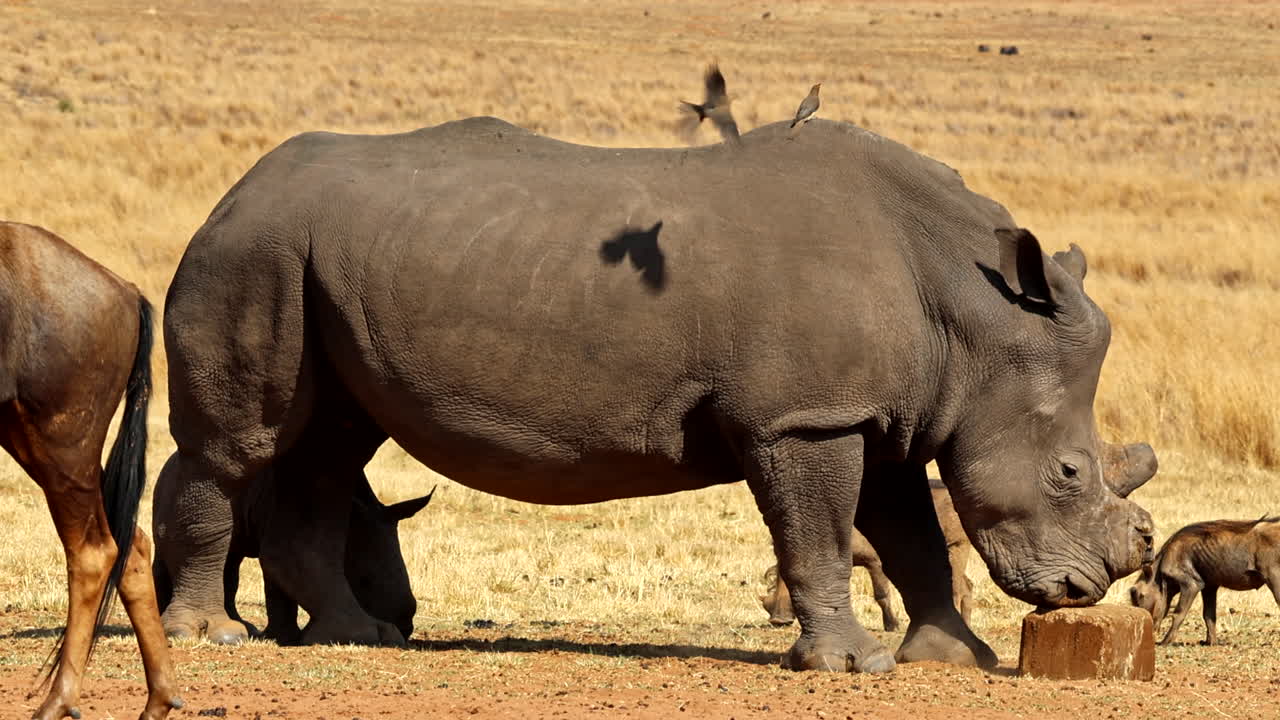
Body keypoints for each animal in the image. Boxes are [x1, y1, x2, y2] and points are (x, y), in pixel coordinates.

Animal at [152, 455, 432, 645]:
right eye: (364, 582)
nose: (405, 626)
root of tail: (168, 463)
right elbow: (277, 585)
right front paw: (284, 638)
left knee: (228, 561)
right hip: (168, 490)